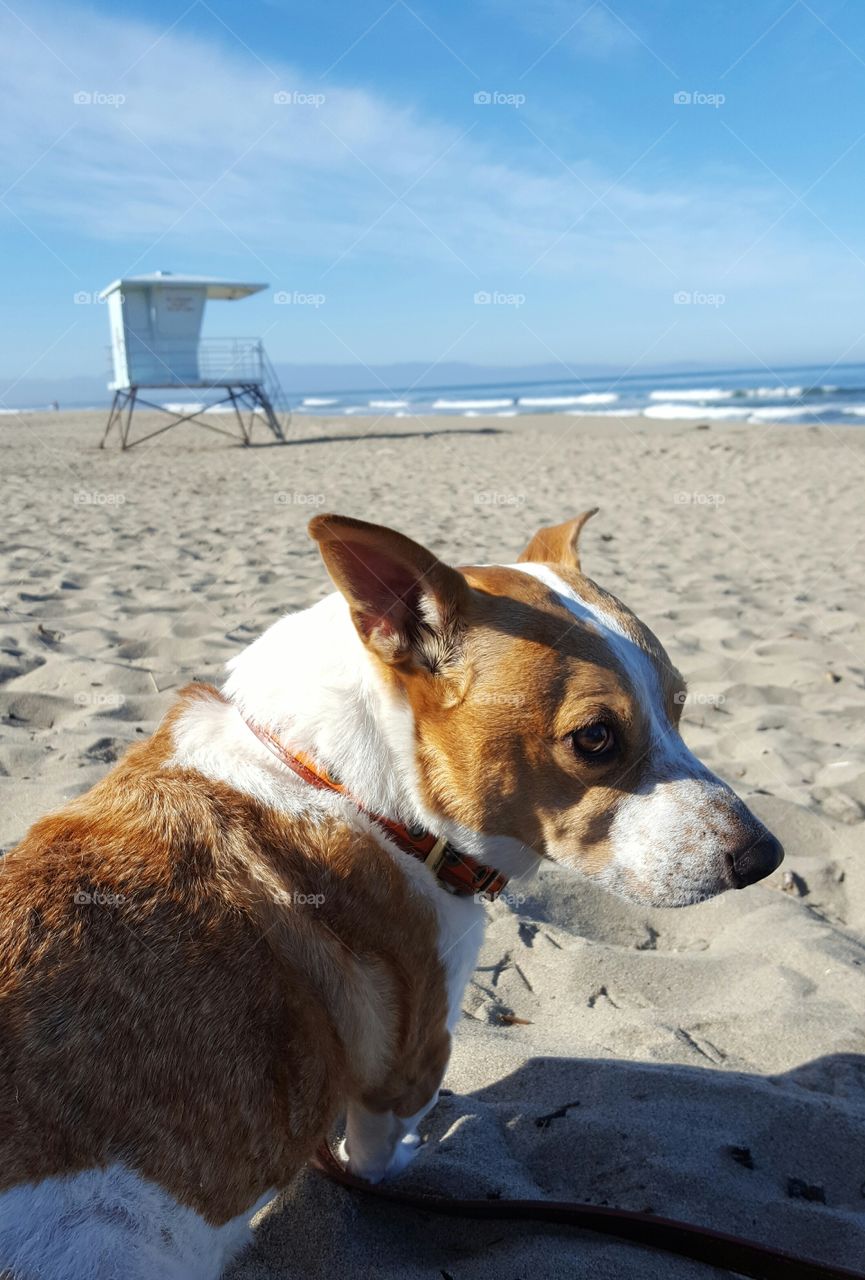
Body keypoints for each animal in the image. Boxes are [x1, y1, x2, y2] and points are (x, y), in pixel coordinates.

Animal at [0, 512, 777, 1280]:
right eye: (595, 738)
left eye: (679, 705)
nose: (764, 857)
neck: (344, 783)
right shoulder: (410, 1060)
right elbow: (374, 1148)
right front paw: (394, 1164)